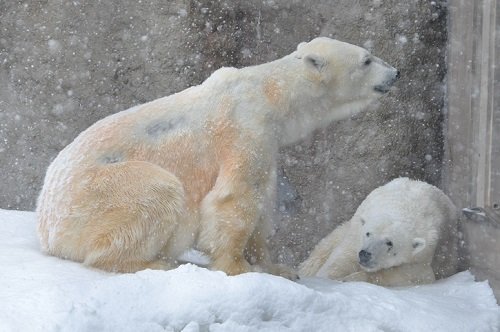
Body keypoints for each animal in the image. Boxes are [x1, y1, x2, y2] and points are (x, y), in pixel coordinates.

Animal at [36, 37, 398, 278]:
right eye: (367, 59)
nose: (395, 73)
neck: (272, 93)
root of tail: (46, 228)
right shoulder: (244, 128)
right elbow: (234, 199)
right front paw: (238, 267)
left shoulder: (268, 143)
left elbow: (263, 201)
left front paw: (277, 267)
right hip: (95, 195)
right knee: (156, 192)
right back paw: (158, 261)